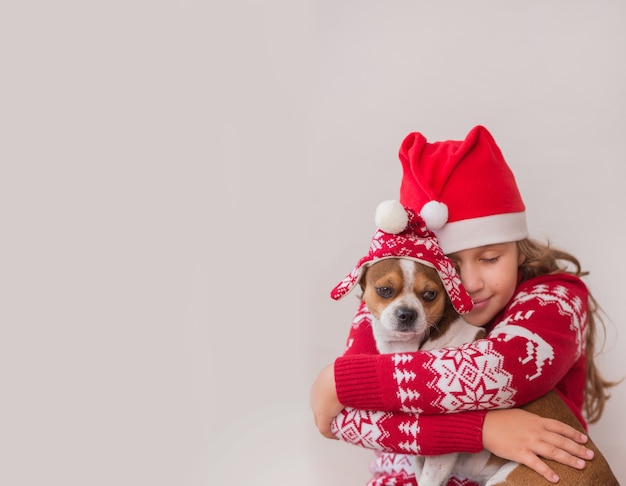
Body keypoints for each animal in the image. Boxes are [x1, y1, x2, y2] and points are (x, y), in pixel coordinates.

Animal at [358, 256, 616, 484]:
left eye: (430, 294)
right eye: (384, 290)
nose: (407, 313)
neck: (415, 345)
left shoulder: (440, 458)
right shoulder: (422, 455)